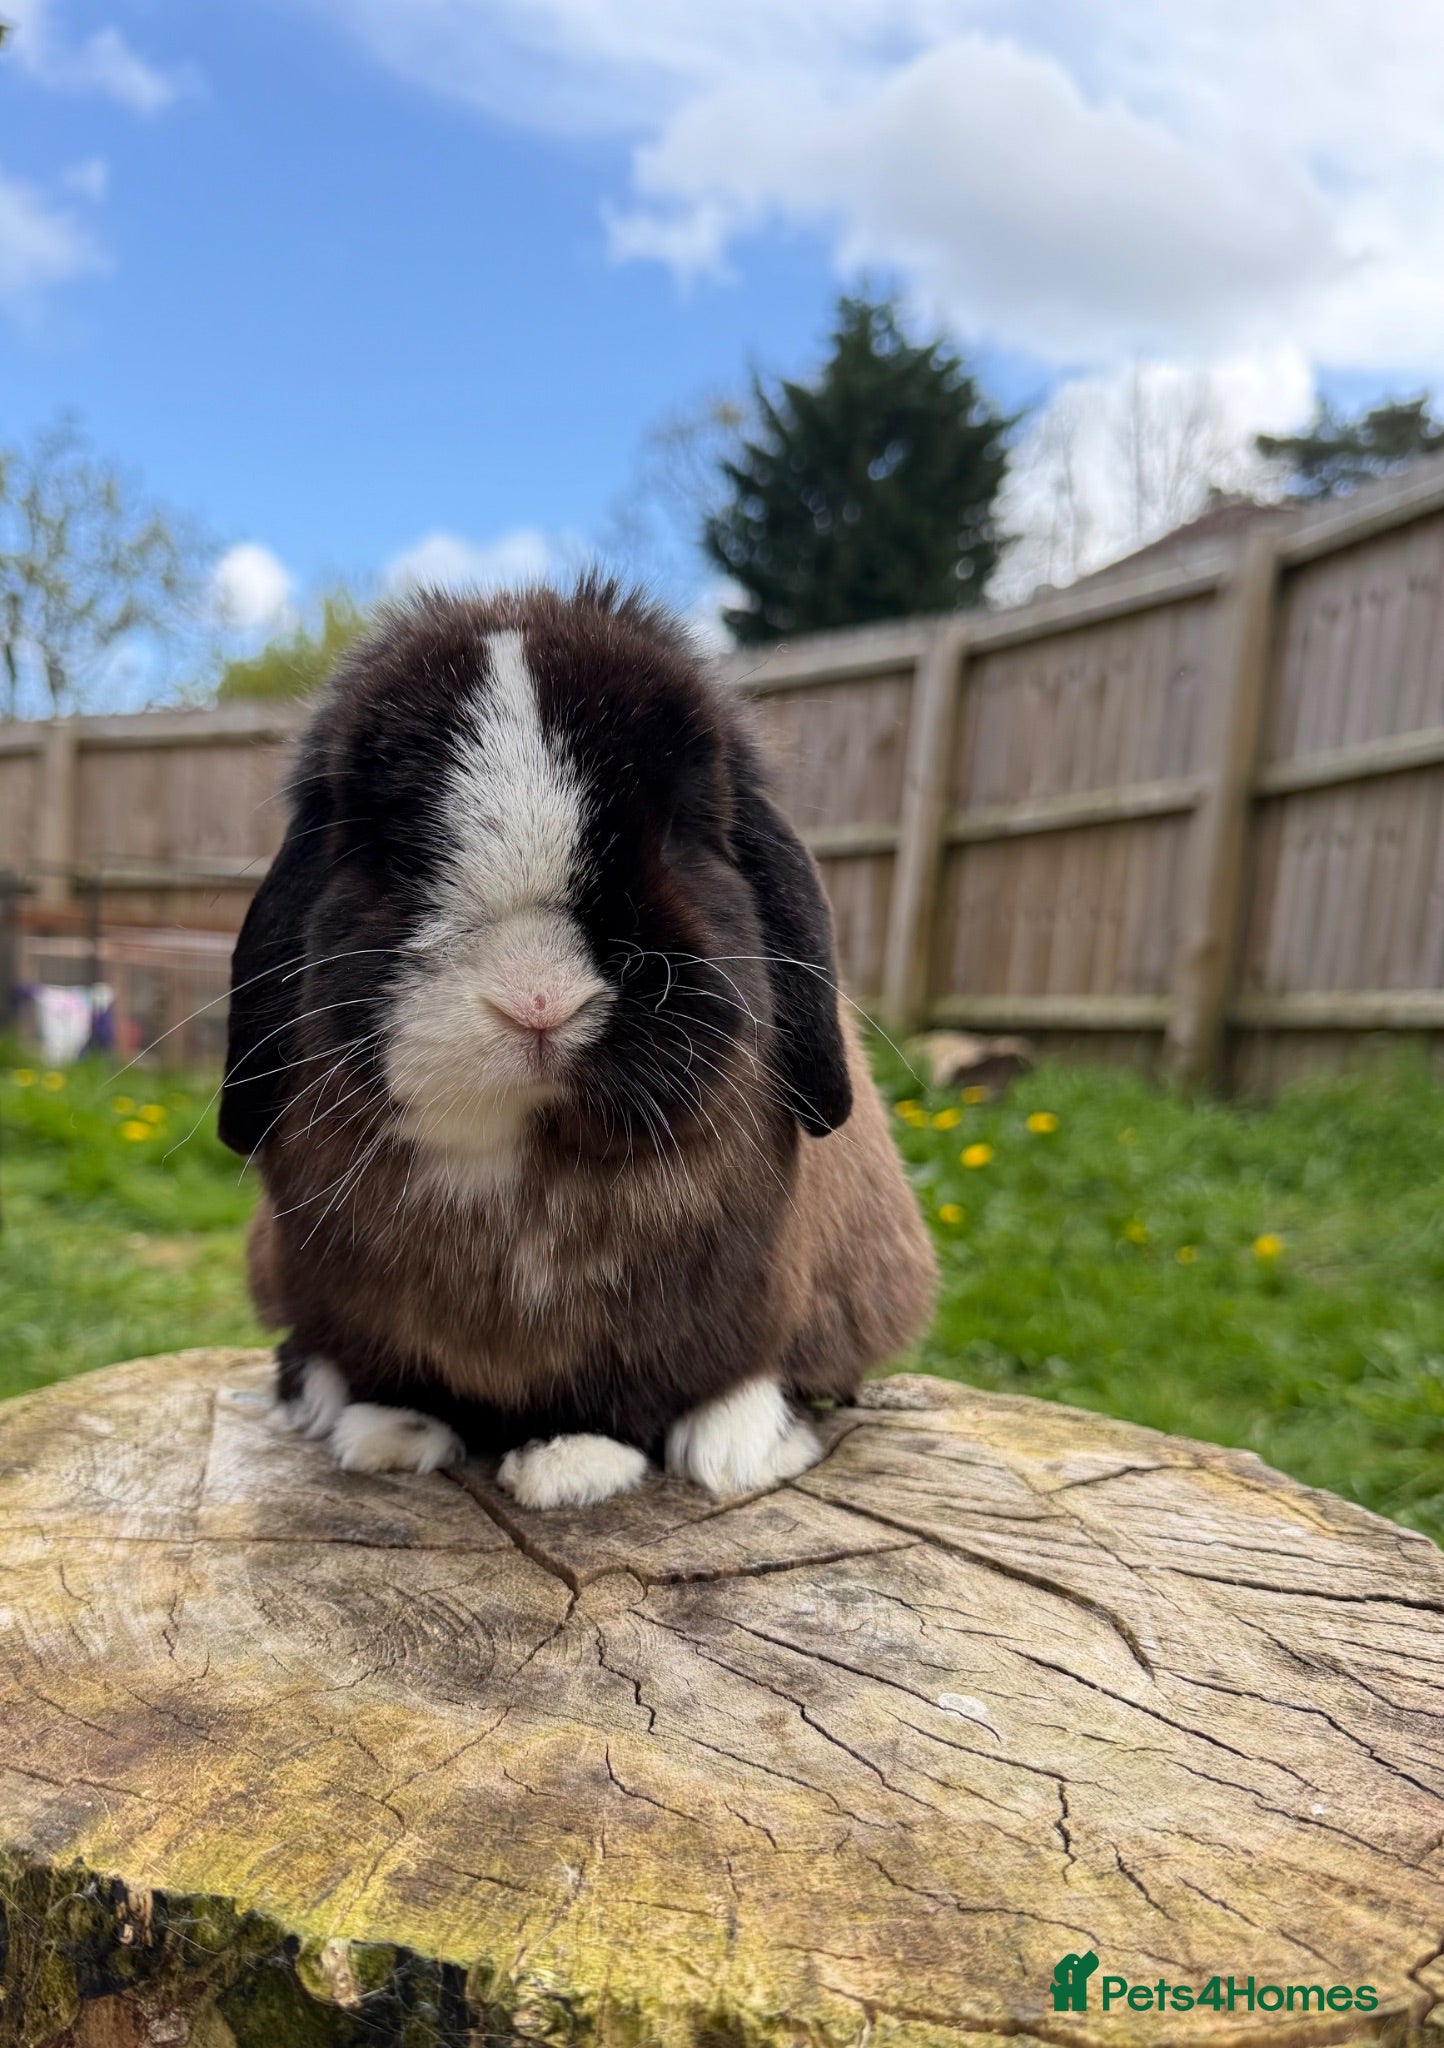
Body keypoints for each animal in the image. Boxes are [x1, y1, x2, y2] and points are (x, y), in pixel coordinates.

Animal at [220, 579, 937, 1508]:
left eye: (678, 831)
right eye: (394, 847)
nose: (538, 1000)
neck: (528, 1151)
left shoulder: (669, 1321)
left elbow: (628, 1394)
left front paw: (571, 1464)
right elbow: (397, 1372)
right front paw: (389, 1435)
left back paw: (733, 1441)